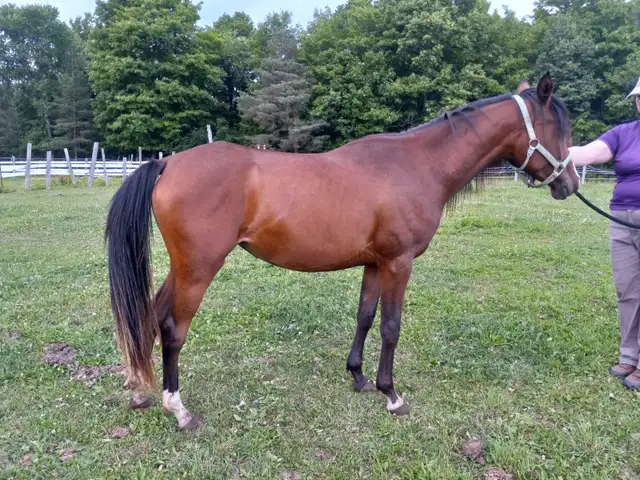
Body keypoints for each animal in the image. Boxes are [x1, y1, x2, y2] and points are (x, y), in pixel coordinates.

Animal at [105, 73, 580, 430]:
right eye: (560, 130)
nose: (570, 183)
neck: (416, 165)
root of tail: (168, 162)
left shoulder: (374, 263)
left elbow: (365, 317)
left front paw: (359, 377)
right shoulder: (398, 264)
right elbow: (391, 326)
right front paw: (391, 394)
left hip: (183, 268)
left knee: (150, 314)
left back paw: (140, 389)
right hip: (199, 269)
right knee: (172, 327)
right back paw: (177, 408)